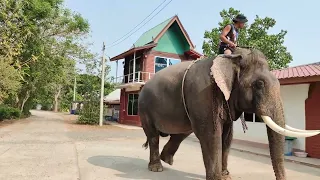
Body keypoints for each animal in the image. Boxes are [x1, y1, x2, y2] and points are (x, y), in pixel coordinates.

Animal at [138, 47, 320, 180]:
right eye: (259, 84)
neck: (233, 58)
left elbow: (227, 136)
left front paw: (226, 176)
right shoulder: (203, 93)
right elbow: (211, 135)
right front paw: (217, 178)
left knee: (182, 133)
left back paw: (167, 160)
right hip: (144, 108)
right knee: (154, 135)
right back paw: (157, 168)